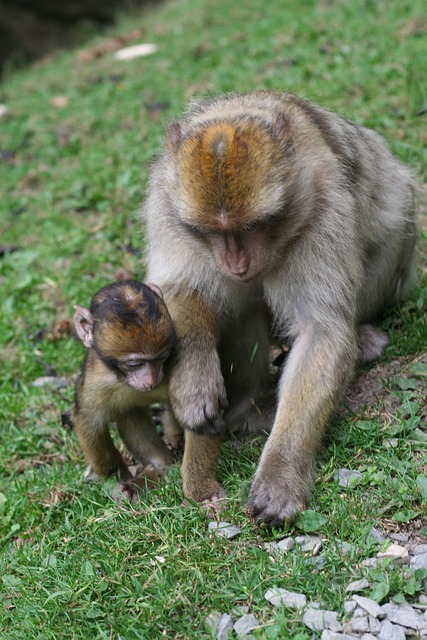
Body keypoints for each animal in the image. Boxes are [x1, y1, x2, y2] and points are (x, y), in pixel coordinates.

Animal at [72, 278, 183, 500]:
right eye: (134, 364)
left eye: (161, 357)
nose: (151, 380)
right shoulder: (96, 379)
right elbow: (88, 419)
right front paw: (115, 476)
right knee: (128, 411)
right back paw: (156, 470)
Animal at [142, 91, 416, 524]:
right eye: (213, 231)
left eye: (252, 226)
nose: (236, 263)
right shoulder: (167, 212)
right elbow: (179, 289)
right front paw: (194, 383)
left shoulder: (324, 212)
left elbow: (320, 331)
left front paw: (279, 475)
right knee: (242, 307)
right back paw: (250, 407)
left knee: (397, 214)